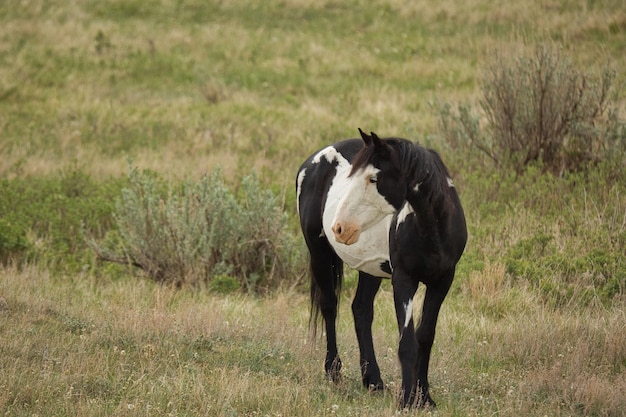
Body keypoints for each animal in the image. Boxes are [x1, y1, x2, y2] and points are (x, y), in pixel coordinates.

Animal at [294, 127, 466, 406]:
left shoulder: (442, 281)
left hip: (370, 269)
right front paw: (407, 399)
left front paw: (424, 397)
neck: (432, 229)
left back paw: (373, 381)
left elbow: (425, 337)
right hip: (318, 251)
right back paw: (334, 373)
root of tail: (311, 162)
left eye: (373, 178)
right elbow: (407, 342)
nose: (340, 228)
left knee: (361, 310)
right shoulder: (404, 280)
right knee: (329, 306)